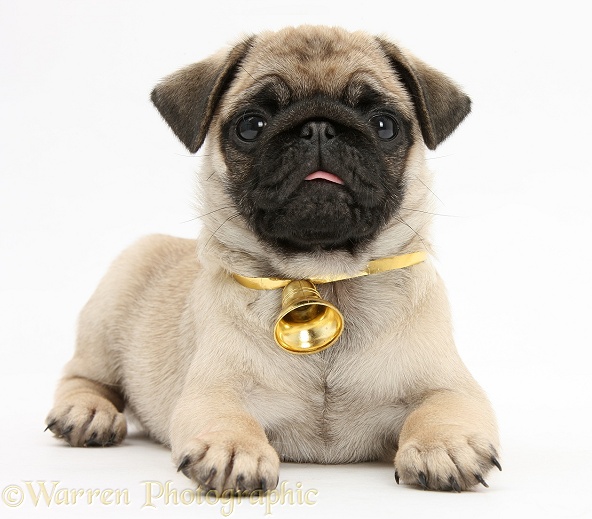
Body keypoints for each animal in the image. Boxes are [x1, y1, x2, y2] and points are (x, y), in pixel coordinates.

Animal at [45, 25, 500, 496]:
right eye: (251, 126)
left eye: (384, 125)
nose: (318, 128)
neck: (321, 275)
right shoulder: (214, 390)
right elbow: (227, 417)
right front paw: (232, 449)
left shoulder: (449, 386)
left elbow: (442, 409)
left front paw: (444, 444)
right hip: (110, 308)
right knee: (83, 376)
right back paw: (87, 413)